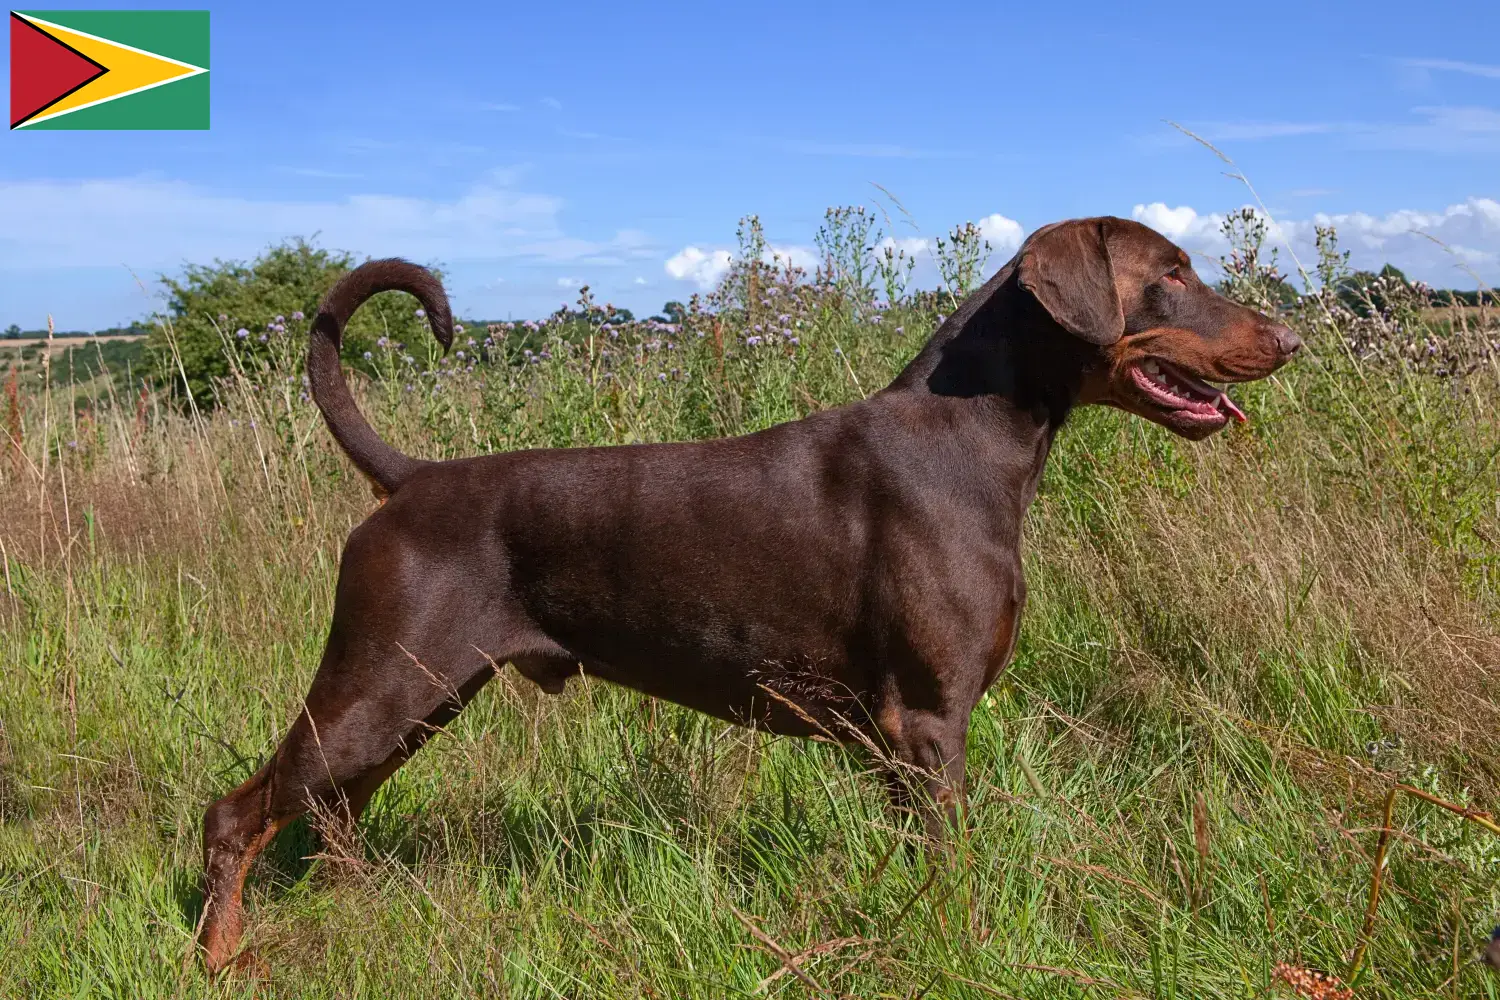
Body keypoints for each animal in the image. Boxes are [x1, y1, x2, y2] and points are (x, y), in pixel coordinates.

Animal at [196, 212, 1302, 971]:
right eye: (1171, 274)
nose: (1290, 340)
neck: (975, 438)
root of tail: (412, 478)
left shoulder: (900, 740)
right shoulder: (929, 719)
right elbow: (951, 868)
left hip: (422, 691)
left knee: (337, 811)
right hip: (380, 678)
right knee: (239, 814)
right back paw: (219, 958)